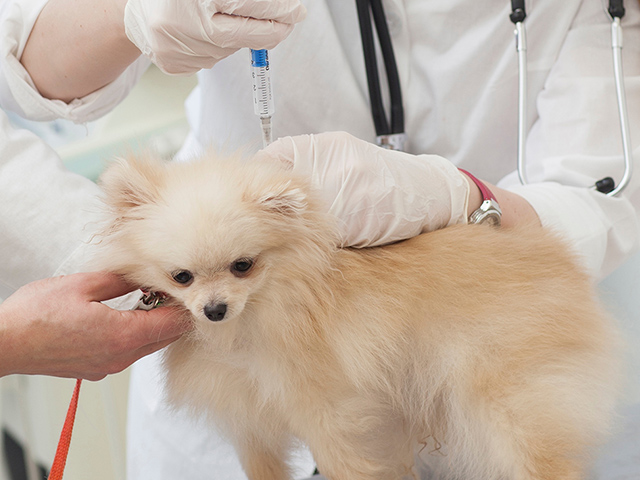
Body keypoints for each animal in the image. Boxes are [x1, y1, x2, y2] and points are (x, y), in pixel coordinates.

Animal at [95, 151, 620, 480]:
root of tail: (554, 255)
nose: (215, 309)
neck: (250, 323)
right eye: (181, 277)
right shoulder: (251, 424)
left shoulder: (330, 412)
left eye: (243, 266)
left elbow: (347, 464)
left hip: (511, 404)